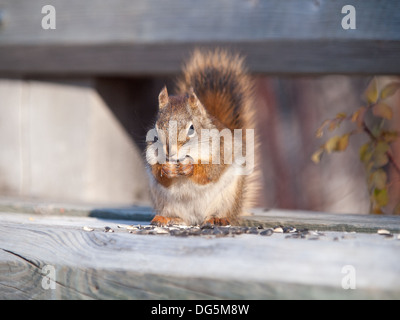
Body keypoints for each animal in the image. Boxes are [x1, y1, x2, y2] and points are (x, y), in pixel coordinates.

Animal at [145, 48, 258, 226]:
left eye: (192, 128)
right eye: (156, 129)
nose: (169, 152)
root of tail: (196, 219)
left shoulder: (221, 149)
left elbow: (210, 171)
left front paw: (189, 167)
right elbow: (158, 174)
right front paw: (166, 168)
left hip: (228, 197)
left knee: (223, 212)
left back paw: (218, 218)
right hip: (164, 202)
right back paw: (167, 217)